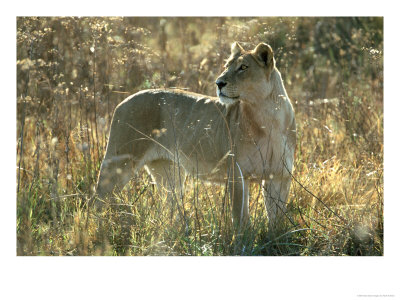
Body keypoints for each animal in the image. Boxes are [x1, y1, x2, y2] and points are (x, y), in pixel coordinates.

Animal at [94, 42, 294, 229]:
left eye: (243, 67)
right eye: (226, 65)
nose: (218, 83)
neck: (268, 116)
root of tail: (123, 100)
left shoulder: (280, 176)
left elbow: (277, 217)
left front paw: (273, 236)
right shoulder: (237, 175)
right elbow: (240, 218)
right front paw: (242, 240)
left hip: (167, 171)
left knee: (169, 207)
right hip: (119, 162)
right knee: (97, 201)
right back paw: (97, 230)